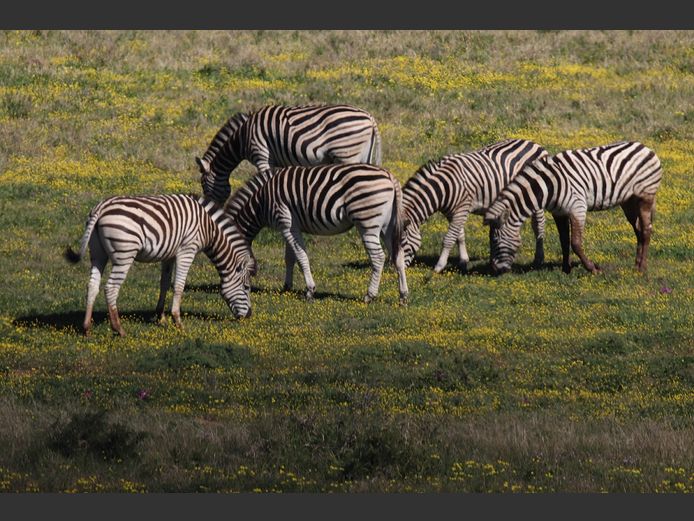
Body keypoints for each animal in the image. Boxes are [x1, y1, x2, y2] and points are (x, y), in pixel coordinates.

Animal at [64, 194, 255, 337]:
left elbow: (164, 283)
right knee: (111, 288)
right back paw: (119, 329)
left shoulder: (169, 254)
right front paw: (178, 321)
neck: (208, 227)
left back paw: (87, 328)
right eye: (246, 287)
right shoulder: (187, 250)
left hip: (98, 253)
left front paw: (160, 317)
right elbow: (179, 285)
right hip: (124, 254)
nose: (249, 316)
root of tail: (102, 207)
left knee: (92, 285)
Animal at [196, 104, 382, 203]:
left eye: (203, 184)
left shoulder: (261, 154)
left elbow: (263, 177)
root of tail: (370, 118)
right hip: (363, 154)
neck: (242, 136)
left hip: (347, 152)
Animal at [224, 164, 409, 304]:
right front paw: (287, 287)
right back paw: (403, 296)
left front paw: (310, 291)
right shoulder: (291, 226)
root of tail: (389, 176)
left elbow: (301, 257)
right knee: (398, 256)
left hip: (367, 223)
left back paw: (369, 296)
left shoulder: (285, 222)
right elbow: (290, 258)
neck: (261, 201)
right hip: (388, 226)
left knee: (378, 258)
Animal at [401, 139, 549, 273]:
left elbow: (449, 238)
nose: (397, 270)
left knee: (538, 225)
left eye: (402, 245)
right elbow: (459, 236)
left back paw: (538, 259)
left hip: (535, 197)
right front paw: (463, 262)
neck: (443, 186)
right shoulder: (451, 212)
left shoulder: (462, 208)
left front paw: (439, 267)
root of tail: (534, 143)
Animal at [483, 141, 662, 274]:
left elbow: (575, 243)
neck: (549, 186)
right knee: (638, 230)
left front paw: (592, 269)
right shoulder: (558, 212)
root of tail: (644, 147)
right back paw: (636, 265)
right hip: (628, 201)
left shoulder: (577, 208)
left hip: (645, 196)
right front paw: (565, 269)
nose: (494, 270)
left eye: (496, 241)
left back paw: (642, 268)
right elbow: (564, 240)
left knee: (646, 230)